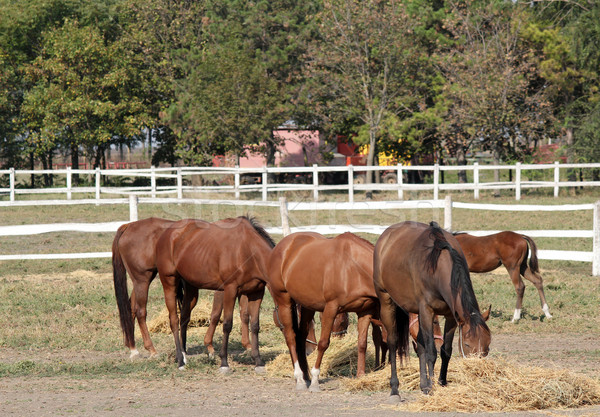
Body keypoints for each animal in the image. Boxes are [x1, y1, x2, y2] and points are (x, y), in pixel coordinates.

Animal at [156, 214, 276, 370]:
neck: (247, 249)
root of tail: (167, 233)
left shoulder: (256, 293)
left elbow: (254, 325)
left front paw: (258, 361)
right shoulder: (230, 290)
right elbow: (226, 324)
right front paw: (224, 362)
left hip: (191, 290)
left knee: (184, 317)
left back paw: (183, 354)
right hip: (169, 284)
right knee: (174, 320)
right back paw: (180, 360)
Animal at [268, 231, 380, 390]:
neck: (353, 267)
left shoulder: (365, 311)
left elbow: (362, 343)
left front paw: (361, 376)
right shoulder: (330, 309)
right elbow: (323, 343)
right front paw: (315, 380)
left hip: (307, 305)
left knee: (300, 337)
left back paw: (305, 376)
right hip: (284, 302)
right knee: (290, 337)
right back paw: (300, 379)